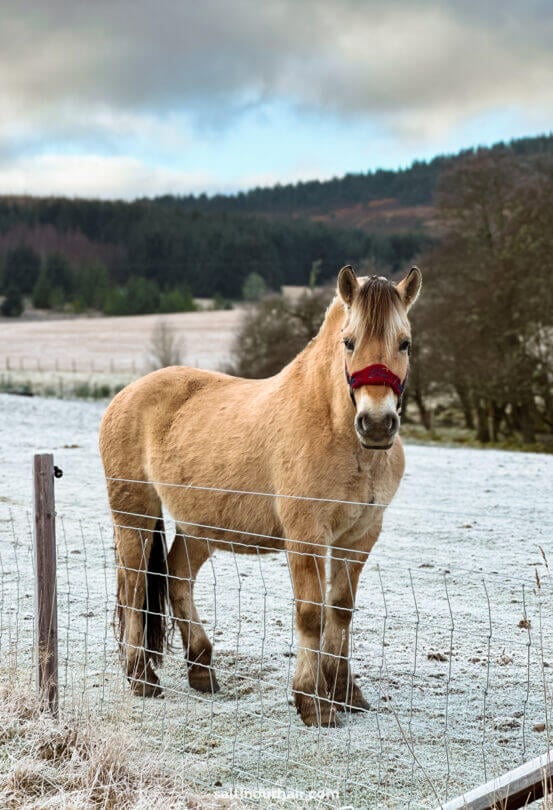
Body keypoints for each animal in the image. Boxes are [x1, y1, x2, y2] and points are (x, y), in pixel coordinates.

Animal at [99, 266, 420, 724]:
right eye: (349, 341)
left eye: (404, 342)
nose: (376, 424)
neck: (332, 426)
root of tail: (125, 395)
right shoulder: (306, 537)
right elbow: (311, 613)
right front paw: (313, 702)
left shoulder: (358, 538)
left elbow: (340, 608)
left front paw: (345, 691)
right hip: (134, 518)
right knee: (136, 589)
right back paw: (141, 676)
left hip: (200, 527)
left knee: (178, 577)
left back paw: (201, 668)